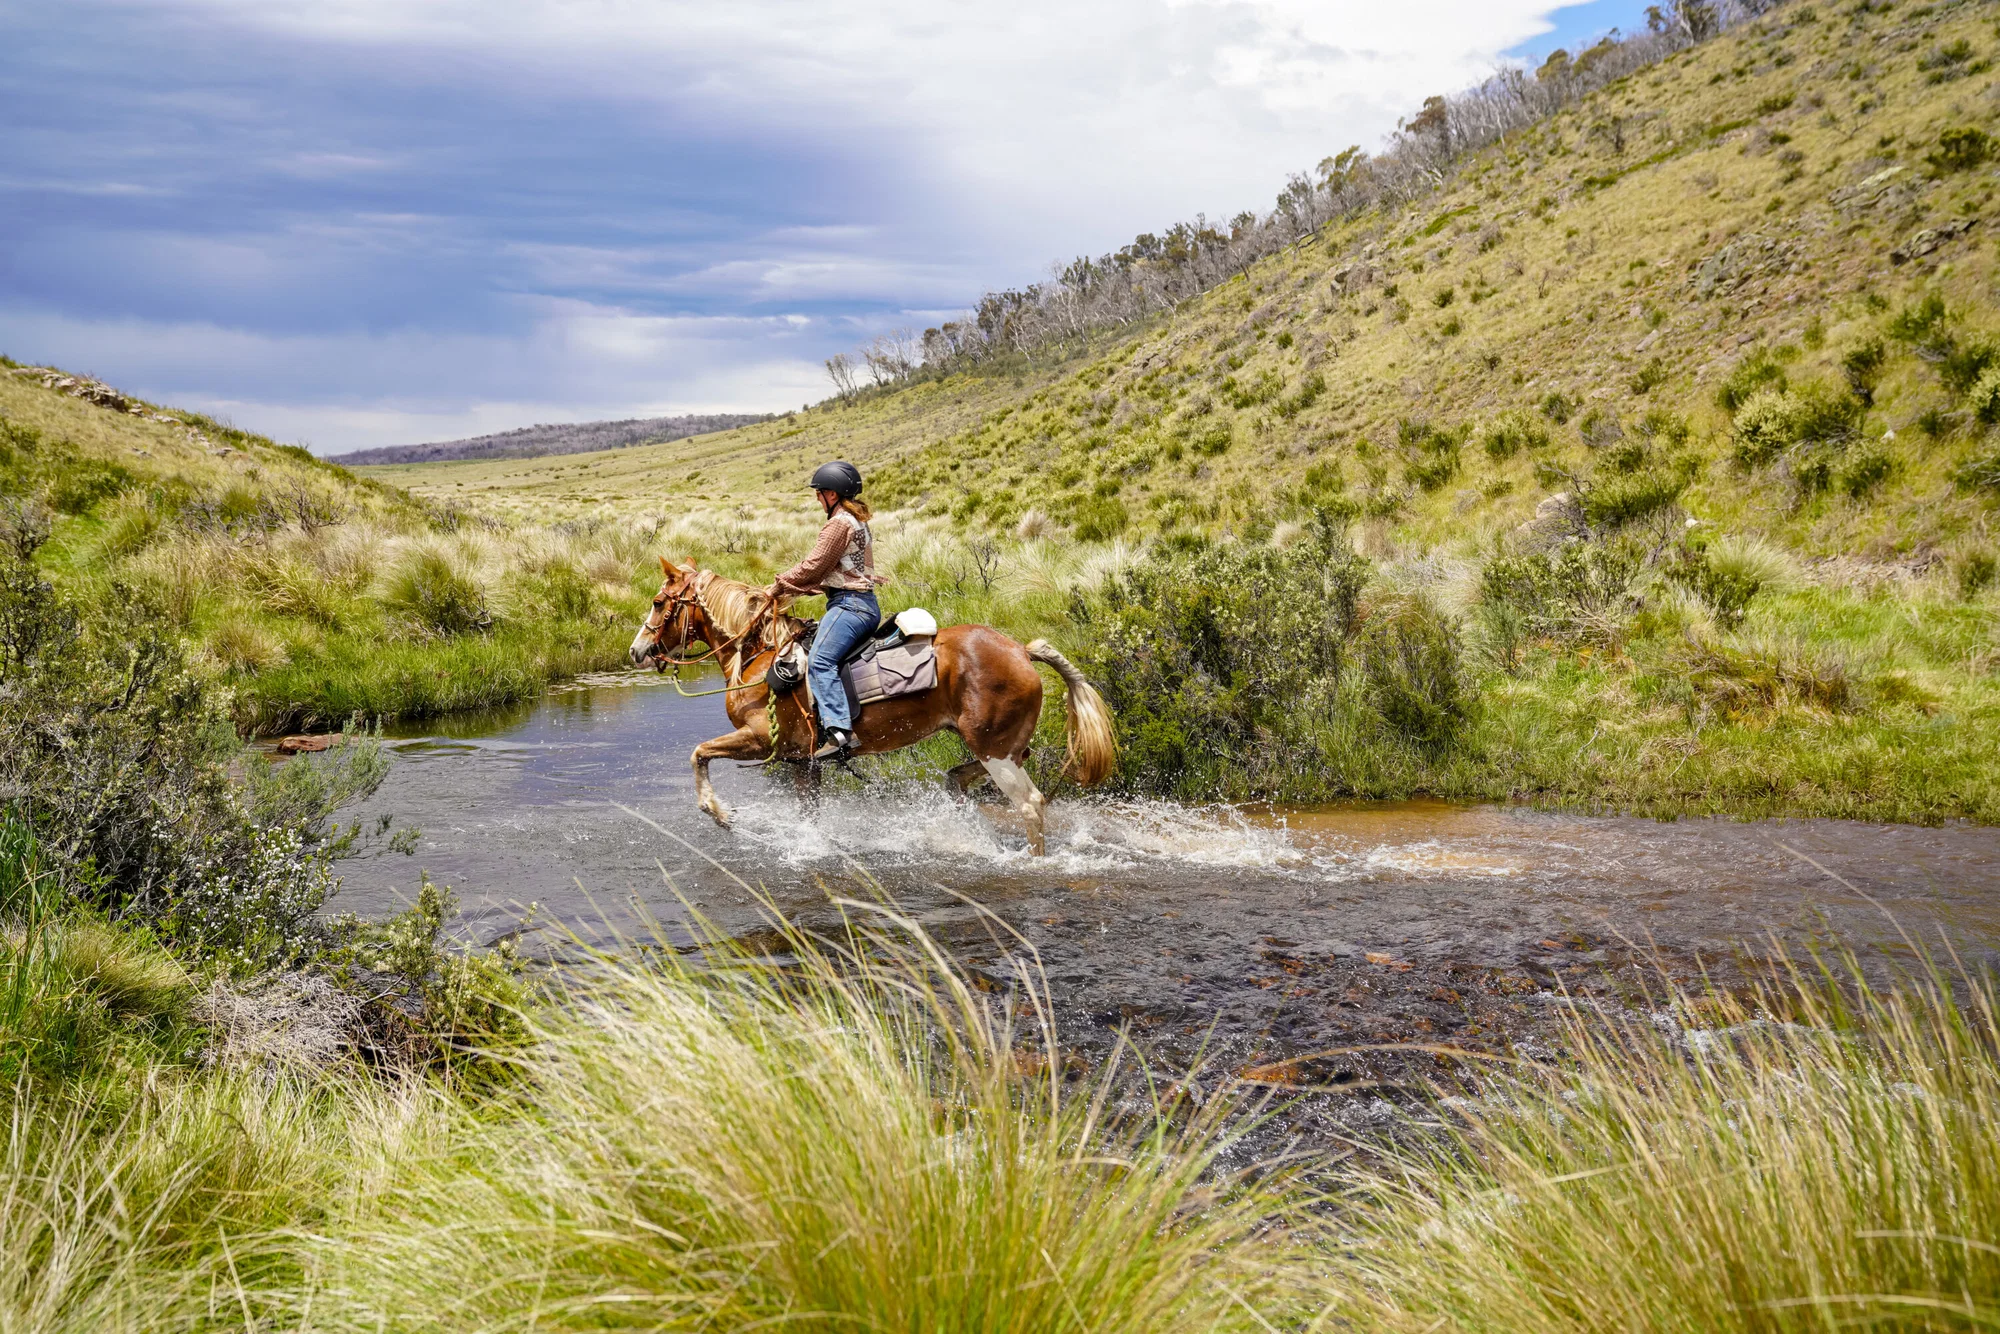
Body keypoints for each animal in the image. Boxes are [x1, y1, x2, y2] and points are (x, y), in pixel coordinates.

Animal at [628, 558, 1116, 855]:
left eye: (657, 602)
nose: (637, 651)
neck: (761, 653)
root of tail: (1021, 651)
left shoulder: (759, 741)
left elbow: (699, 754)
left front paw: (720, 814)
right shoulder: (803, 762)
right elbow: (810, 816)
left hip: (995, 750)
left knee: (1030, 804)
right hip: (998, 746)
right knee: (970, 776)